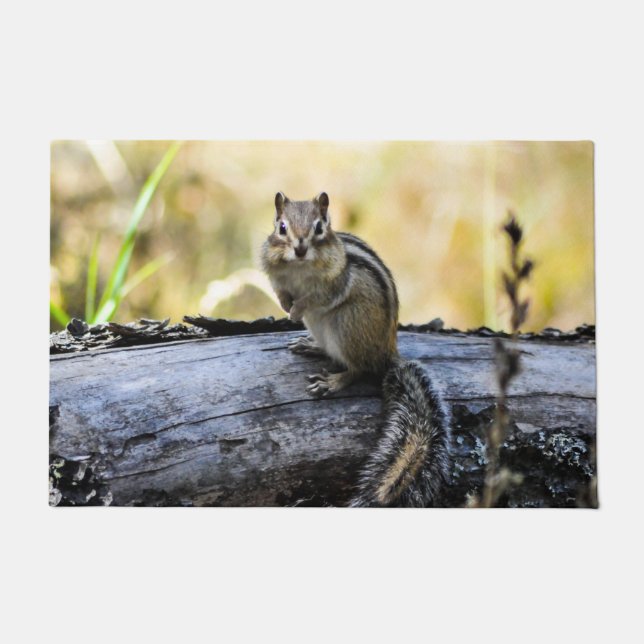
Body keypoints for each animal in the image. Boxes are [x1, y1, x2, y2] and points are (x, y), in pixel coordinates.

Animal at [261, 191, 451, 507]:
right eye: (282, 227)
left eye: (319, 227)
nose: (300, 249)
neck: (299, 267)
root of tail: (387, 355)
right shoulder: (275, 273)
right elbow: (279, 291)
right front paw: (287, 305)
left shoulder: (335, 282)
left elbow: (316, 297)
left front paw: (296, 308)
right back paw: (312, 346)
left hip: (347, 324)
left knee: (358, 368)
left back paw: (334, 381)